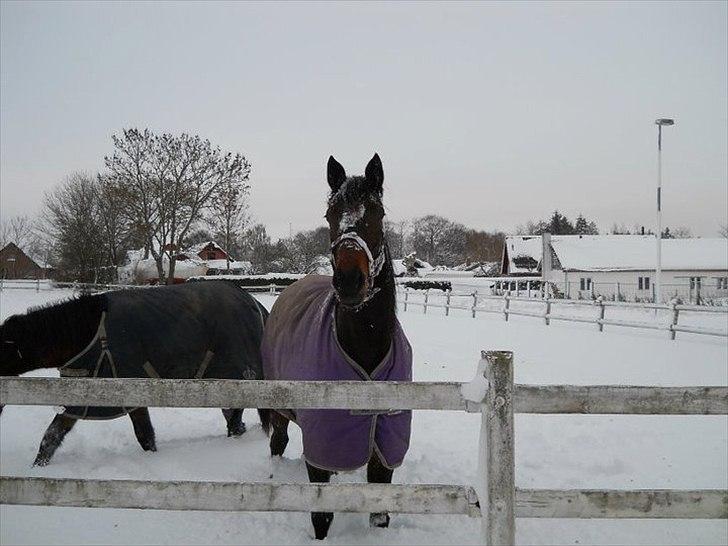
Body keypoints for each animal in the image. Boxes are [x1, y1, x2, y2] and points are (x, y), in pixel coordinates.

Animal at [0, 280, 270, 464]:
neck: (91, 334)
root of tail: (253, 303)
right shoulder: (108, 398)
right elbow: (144, 436)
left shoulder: (99, 398)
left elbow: (52, 436)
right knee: (234, 421)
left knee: (234, 422)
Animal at [262, 152, 412, 536]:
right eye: (330, 214)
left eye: (378, 213)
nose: (349, 281)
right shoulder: (322, 445)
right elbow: (322, 516)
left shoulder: (383, 451)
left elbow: (380, 514)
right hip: (280, 408)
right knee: (277, 441)